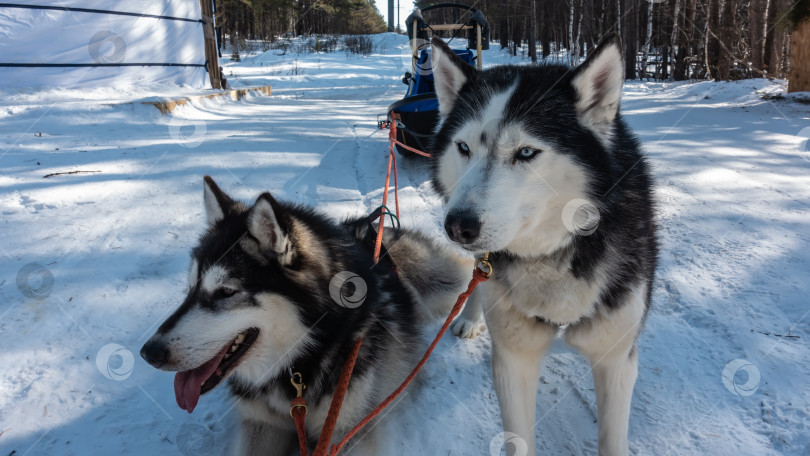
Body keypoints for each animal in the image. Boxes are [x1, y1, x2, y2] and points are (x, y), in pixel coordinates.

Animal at [138, 176, 468, 454]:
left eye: (225, 292)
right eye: (190, 288)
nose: (148, 353)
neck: (300, 362)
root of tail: (368, 224)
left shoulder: (349, 431)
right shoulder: (261, 423)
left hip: (446, 285)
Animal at [430, 33, 656, 454]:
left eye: (526, 152)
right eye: (463, 148)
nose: (458, 226)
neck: (551, 255)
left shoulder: (617, 360)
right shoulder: (513, 358)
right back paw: (470, 316)